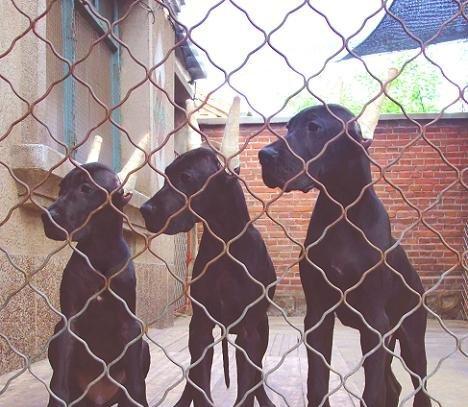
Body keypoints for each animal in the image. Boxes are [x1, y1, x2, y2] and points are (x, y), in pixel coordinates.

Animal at [41, 163, 149, 407]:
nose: (46, 216)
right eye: (61, 189)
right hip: (57, 333)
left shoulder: (130, 325)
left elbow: (137, 385)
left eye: (86, 188)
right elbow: (58, 382)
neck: (100, 253)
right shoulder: (69, 323)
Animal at [141, 147, 276, 407]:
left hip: (262, 330)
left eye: (186, 177)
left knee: (257, 372)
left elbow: (247, 387)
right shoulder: (201, 328)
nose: (145, 210)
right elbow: (200, 385)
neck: (224, 243)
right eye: (166, 176)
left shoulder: (249, 335)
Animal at [260, 105, 432, 407]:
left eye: (314, 127)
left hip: (411, 336)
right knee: (393, 386)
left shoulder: (374, 322)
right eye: (288, 127)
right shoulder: (318, 314)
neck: (341, 211)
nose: (264, 155)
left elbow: (372, 392)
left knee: (419, 388)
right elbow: (317, 382)